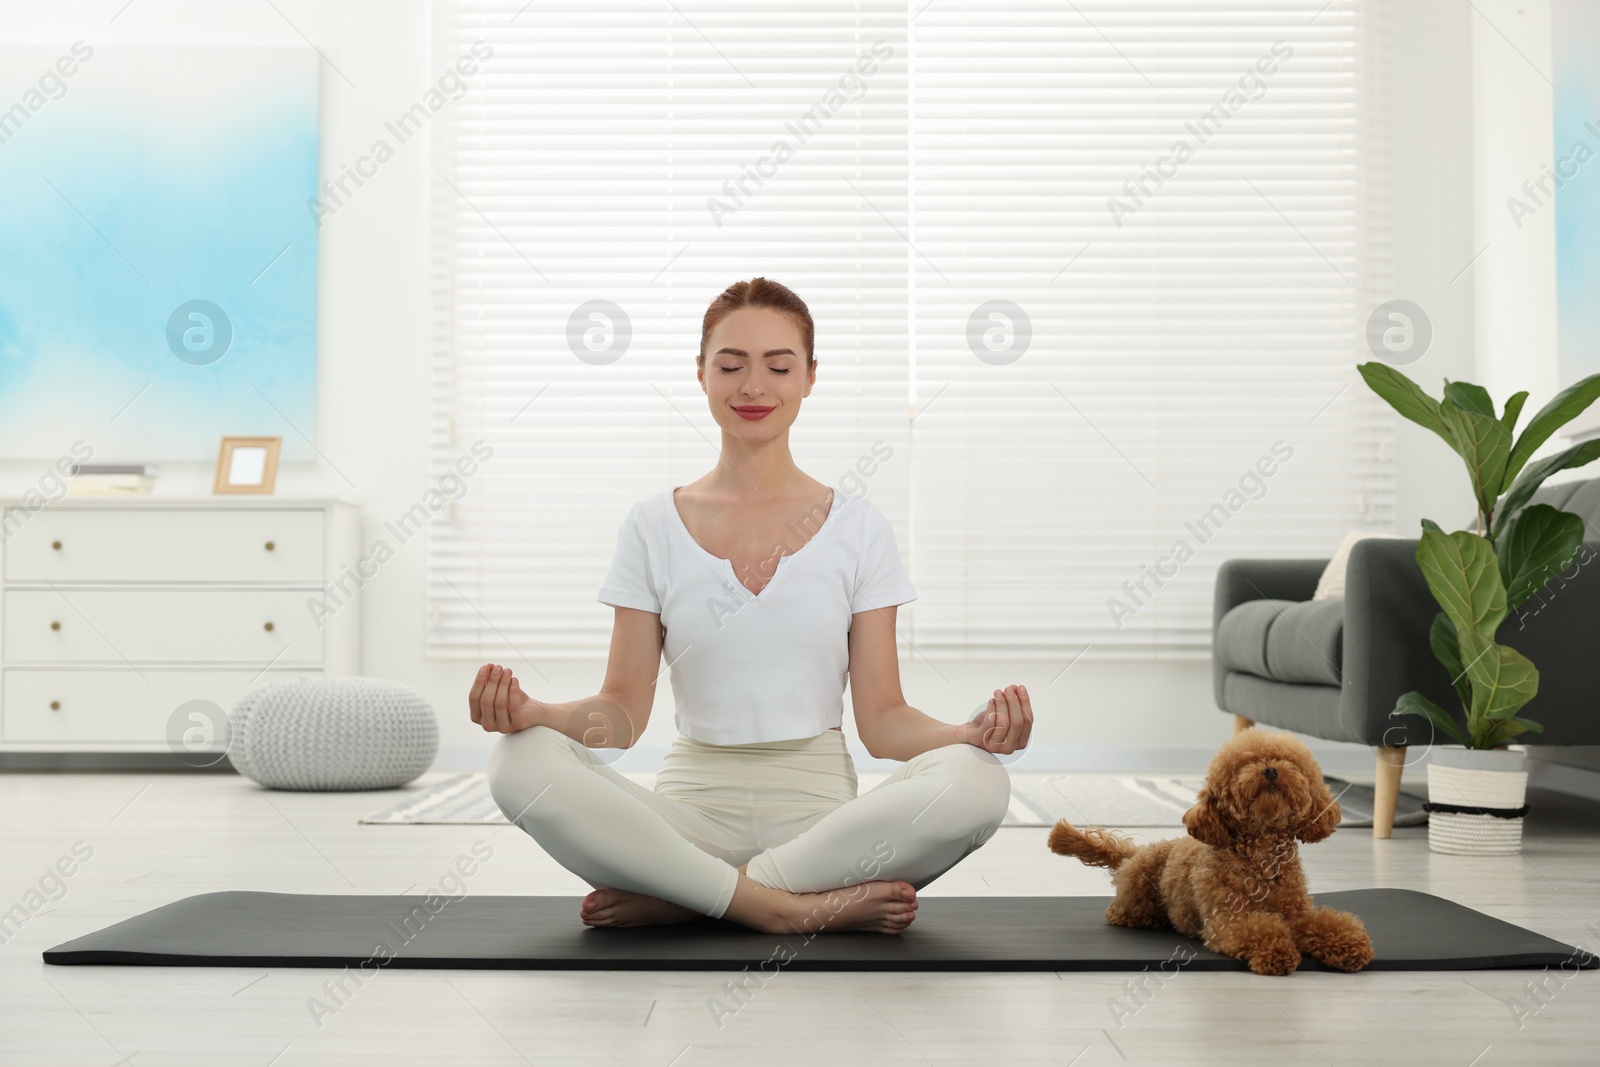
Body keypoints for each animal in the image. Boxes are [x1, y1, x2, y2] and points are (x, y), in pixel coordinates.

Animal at [1049, 729, 1376, 972]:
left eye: (1286, 761)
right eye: (1244, 765)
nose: (1270, 770)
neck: (1261, 855)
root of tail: (1134, 854)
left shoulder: (1297, 913)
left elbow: (1325, 923)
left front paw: (1350, 945)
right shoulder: (1227, 919)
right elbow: (1262, 930)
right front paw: (1277, 952)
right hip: (1136, 895)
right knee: (1118, 913)